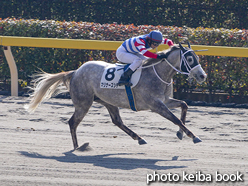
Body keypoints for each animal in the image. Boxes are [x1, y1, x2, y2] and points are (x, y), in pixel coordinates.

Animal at [25, 42, 207, 150]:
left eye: (197, 57)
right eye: (190, 59)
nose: (202, 76)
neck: (157, 73)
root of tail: (75, 72)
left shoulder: (165, 101)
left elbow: (184, 105)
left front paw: (180, 134)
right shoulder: (156, 105)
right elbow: (175, 119)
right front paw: (194, 136)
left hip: (108, 101)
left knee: (117, 121)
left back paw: (139, 138)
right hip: (84, 103)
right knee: (72, 122)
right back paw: (78, 147)